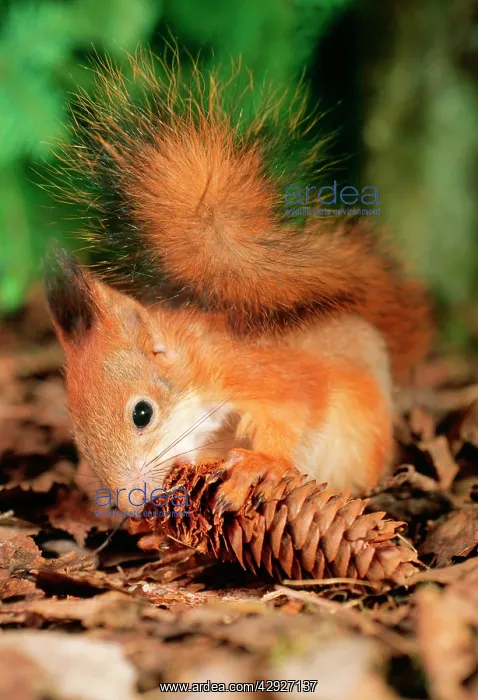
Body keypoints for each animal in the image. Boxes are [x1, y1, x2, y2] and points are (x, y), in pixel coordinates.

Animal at [45, 53, 432, 515]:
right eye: (79, 438)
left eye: (142, 413)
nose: (133, 506)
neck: (198, 371)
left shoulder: (263, 372)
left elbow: (298, 410)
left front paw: (258, 464)